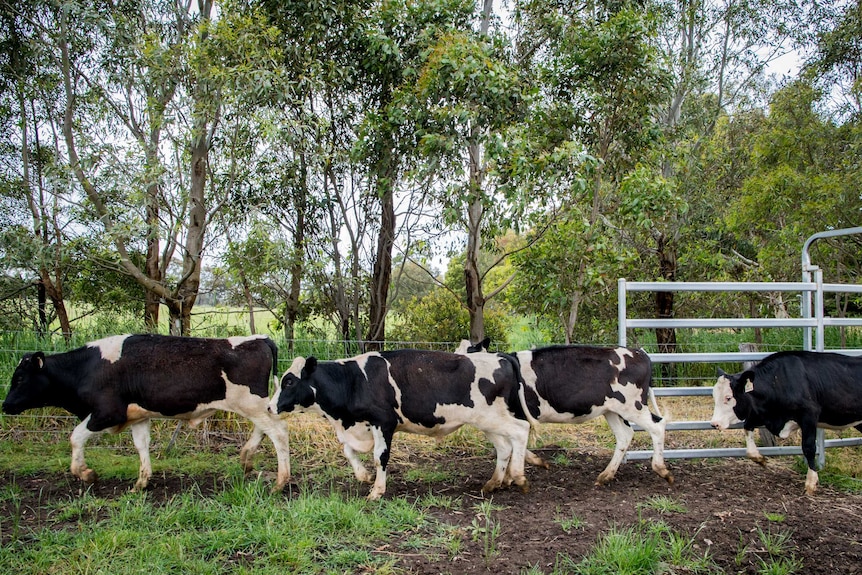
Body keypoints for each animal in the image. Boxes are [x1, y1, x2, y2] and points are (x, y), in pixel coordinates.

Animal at [0, 336, 294, 492]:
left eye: (21, 378)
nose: (5, 405)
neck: (87, 369)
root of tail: (260, 339)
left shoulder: (107, 413)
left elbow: (76, 437)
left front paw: (85, 473)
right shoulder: (139, 417)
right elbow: (141, 445)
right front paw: (141, 482)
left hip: (252, 404)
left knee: (279, 434)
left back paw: (280, 481)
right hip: (257, 406)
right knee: (265, 430)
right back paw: (246, 459)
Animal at [274, 348, 536, 502]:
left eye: (289, 381)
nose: (269, 407)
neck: (354, 381)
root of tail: (501, 356)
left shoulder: (383, 423)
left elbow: (380, 457)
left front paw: (376, 491)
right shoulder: (360, 426)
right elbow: (348, 450)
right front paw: (363, 475)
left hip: (492, 418)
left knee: (520, 431)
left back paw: (519, 477)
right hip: (487, 422)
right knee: (505, 446)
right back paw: (494, 482)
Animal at [712, 352, 862, 496]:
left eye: (728, 397)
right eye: (714, 396)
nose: (714, 424)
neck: (778, 380)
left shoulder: (809, 415)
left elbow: (808, 447)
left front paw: (811, 483)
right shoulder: (762, 415)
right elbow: (747, 429)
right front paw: (760, 459)